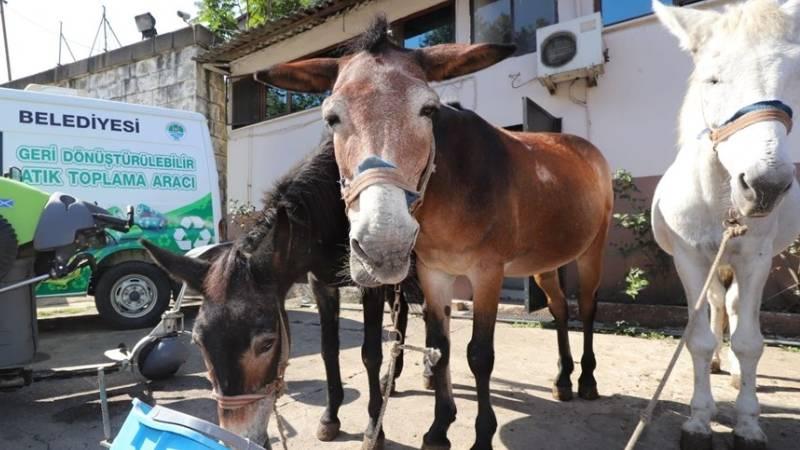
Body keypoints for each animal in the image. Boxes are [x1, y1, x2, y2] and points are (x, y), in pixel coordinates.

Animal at [652, 0, 796, 448]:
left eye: (793, 76)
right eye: (712, 79)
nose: (765, 186)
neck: (721, 203)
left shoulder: (757, 259)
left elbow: (750, 342)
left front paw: (747, 424)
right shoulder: (689, 260)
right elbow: (698, 340)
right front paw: (699, 420)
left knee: (731, 307)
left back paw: (732, 371)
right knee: (717, 304)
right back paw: (718, 361)